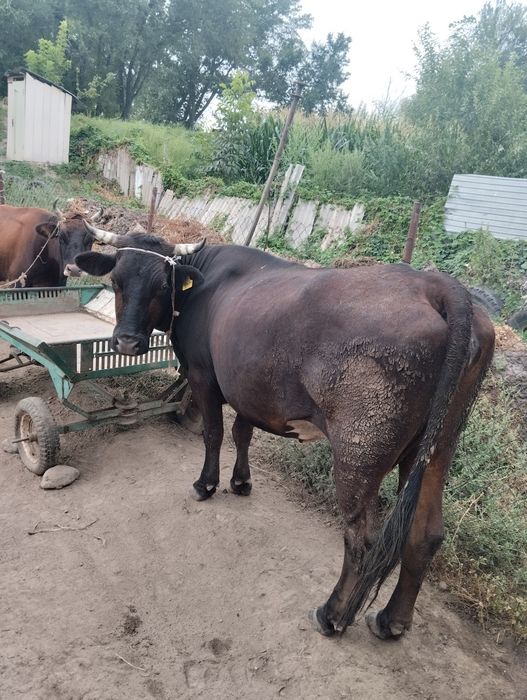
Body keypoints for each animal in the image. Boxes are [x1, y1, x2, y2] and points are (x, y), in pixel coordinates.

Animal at [76, 227, 495, 643]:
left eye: (163, 284)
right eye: (116, 279)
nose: (127, 342)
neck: (203, 284)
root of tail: (434, 284)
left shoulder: (203, 376)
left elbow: (214, 434)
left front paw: (206, 484)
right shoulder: (247, 388)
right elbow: (242, 433)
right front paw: (240, 481)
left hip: (359, 452)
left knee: (362, 540)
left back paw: (333, 614)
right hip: (436, 447)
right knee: (426, 533)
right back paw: (393, 619)